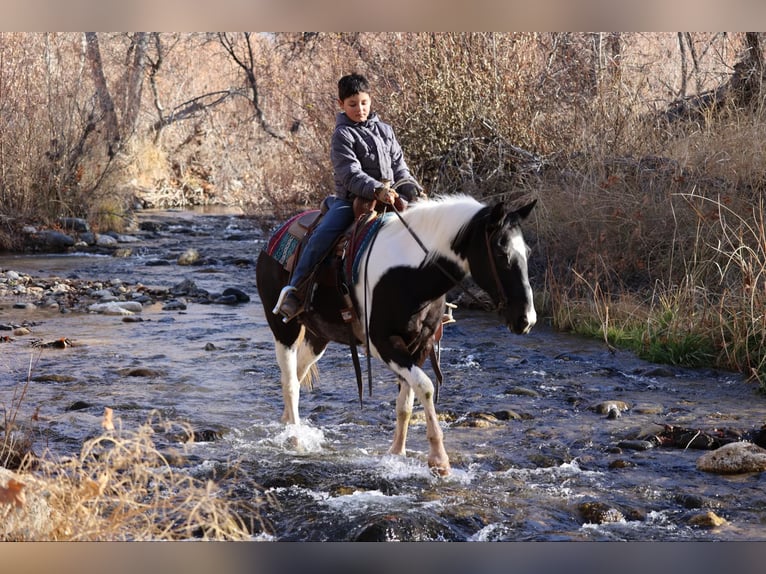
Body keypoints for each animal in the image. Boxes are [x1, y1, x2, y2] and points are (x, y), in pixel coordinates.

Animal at [255, 194, 537, 475]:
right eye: (501, 253)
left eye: (527, 253)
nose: (527, 319)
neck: (410, 275)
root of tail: (275, 235)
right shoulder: (384, 344)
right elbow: (425, 387)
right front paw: (439, 459)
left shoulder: (419, 345)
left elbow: (406, 402)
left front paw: (397, 452)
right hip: (284, 329)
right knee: (290, 383)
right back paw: (295, 439)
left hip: (318, 336)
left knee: (299, 373)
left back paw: (287, 423)